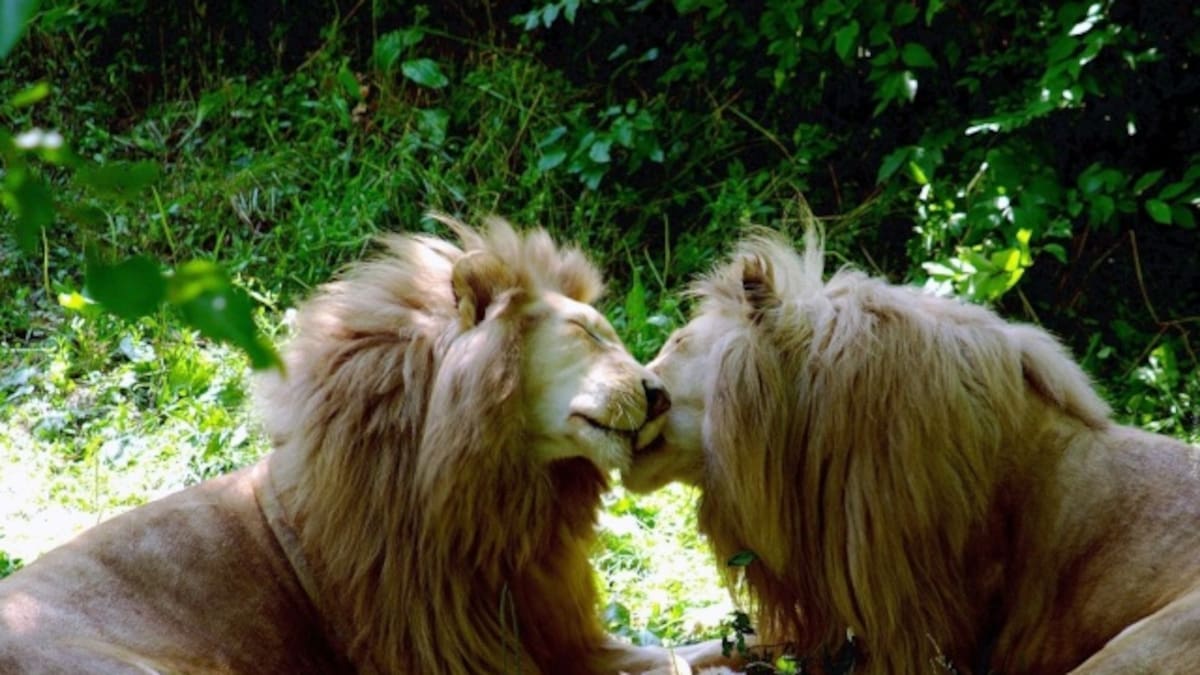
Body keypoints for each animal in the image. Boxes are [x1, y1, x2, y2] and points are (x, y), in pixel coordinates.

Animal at [0, 216, 731, 674]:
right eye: (586, 333)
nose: (659, 395)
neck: (499, 497)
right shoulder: (457, 655)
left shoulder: (553, 633)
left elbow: (668, 648)